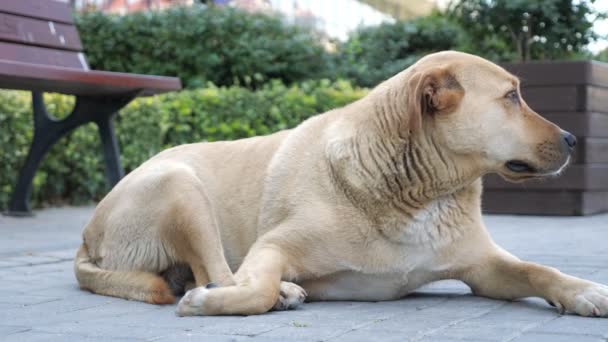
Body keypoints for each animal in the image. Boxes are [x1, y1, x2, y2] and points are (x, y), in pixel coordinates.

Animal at [75, 51, 608, 318]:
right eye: (511, 96)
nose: (572, 139)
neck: (420, 190)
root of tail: (87, 236)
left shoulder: (484, 268)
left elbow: (539, 270)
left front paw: (585, 291)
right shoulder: (273, 246)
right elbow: (255, 286)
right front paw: (237, 298)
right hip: (182, 185)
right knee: (218, 270)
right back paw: (272, 292)